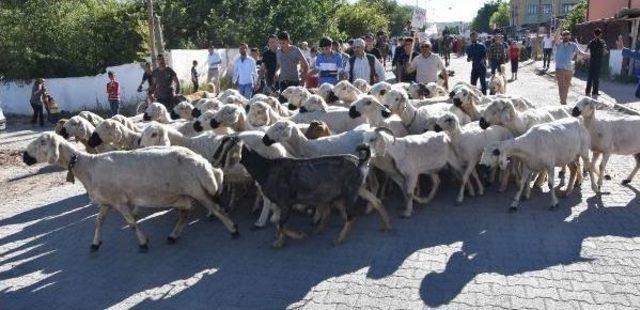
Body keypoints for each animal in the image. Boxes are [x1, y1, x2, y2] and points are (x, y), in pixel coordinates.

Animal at [22, 132, 239, 251]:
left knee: (216, 208)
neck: (88, 167)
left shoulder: (119, 201)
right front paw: (95, 243)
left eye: (43, 142)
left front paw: (143, 243)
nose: (24, 156)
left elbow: (131, 222)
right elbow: (98, 222)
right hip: (182, 194)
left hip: (197, 188)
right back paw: (173, 235)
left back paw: (233, 230)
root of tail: (203, 163)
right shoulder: (106, 201)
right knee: (186, 213)